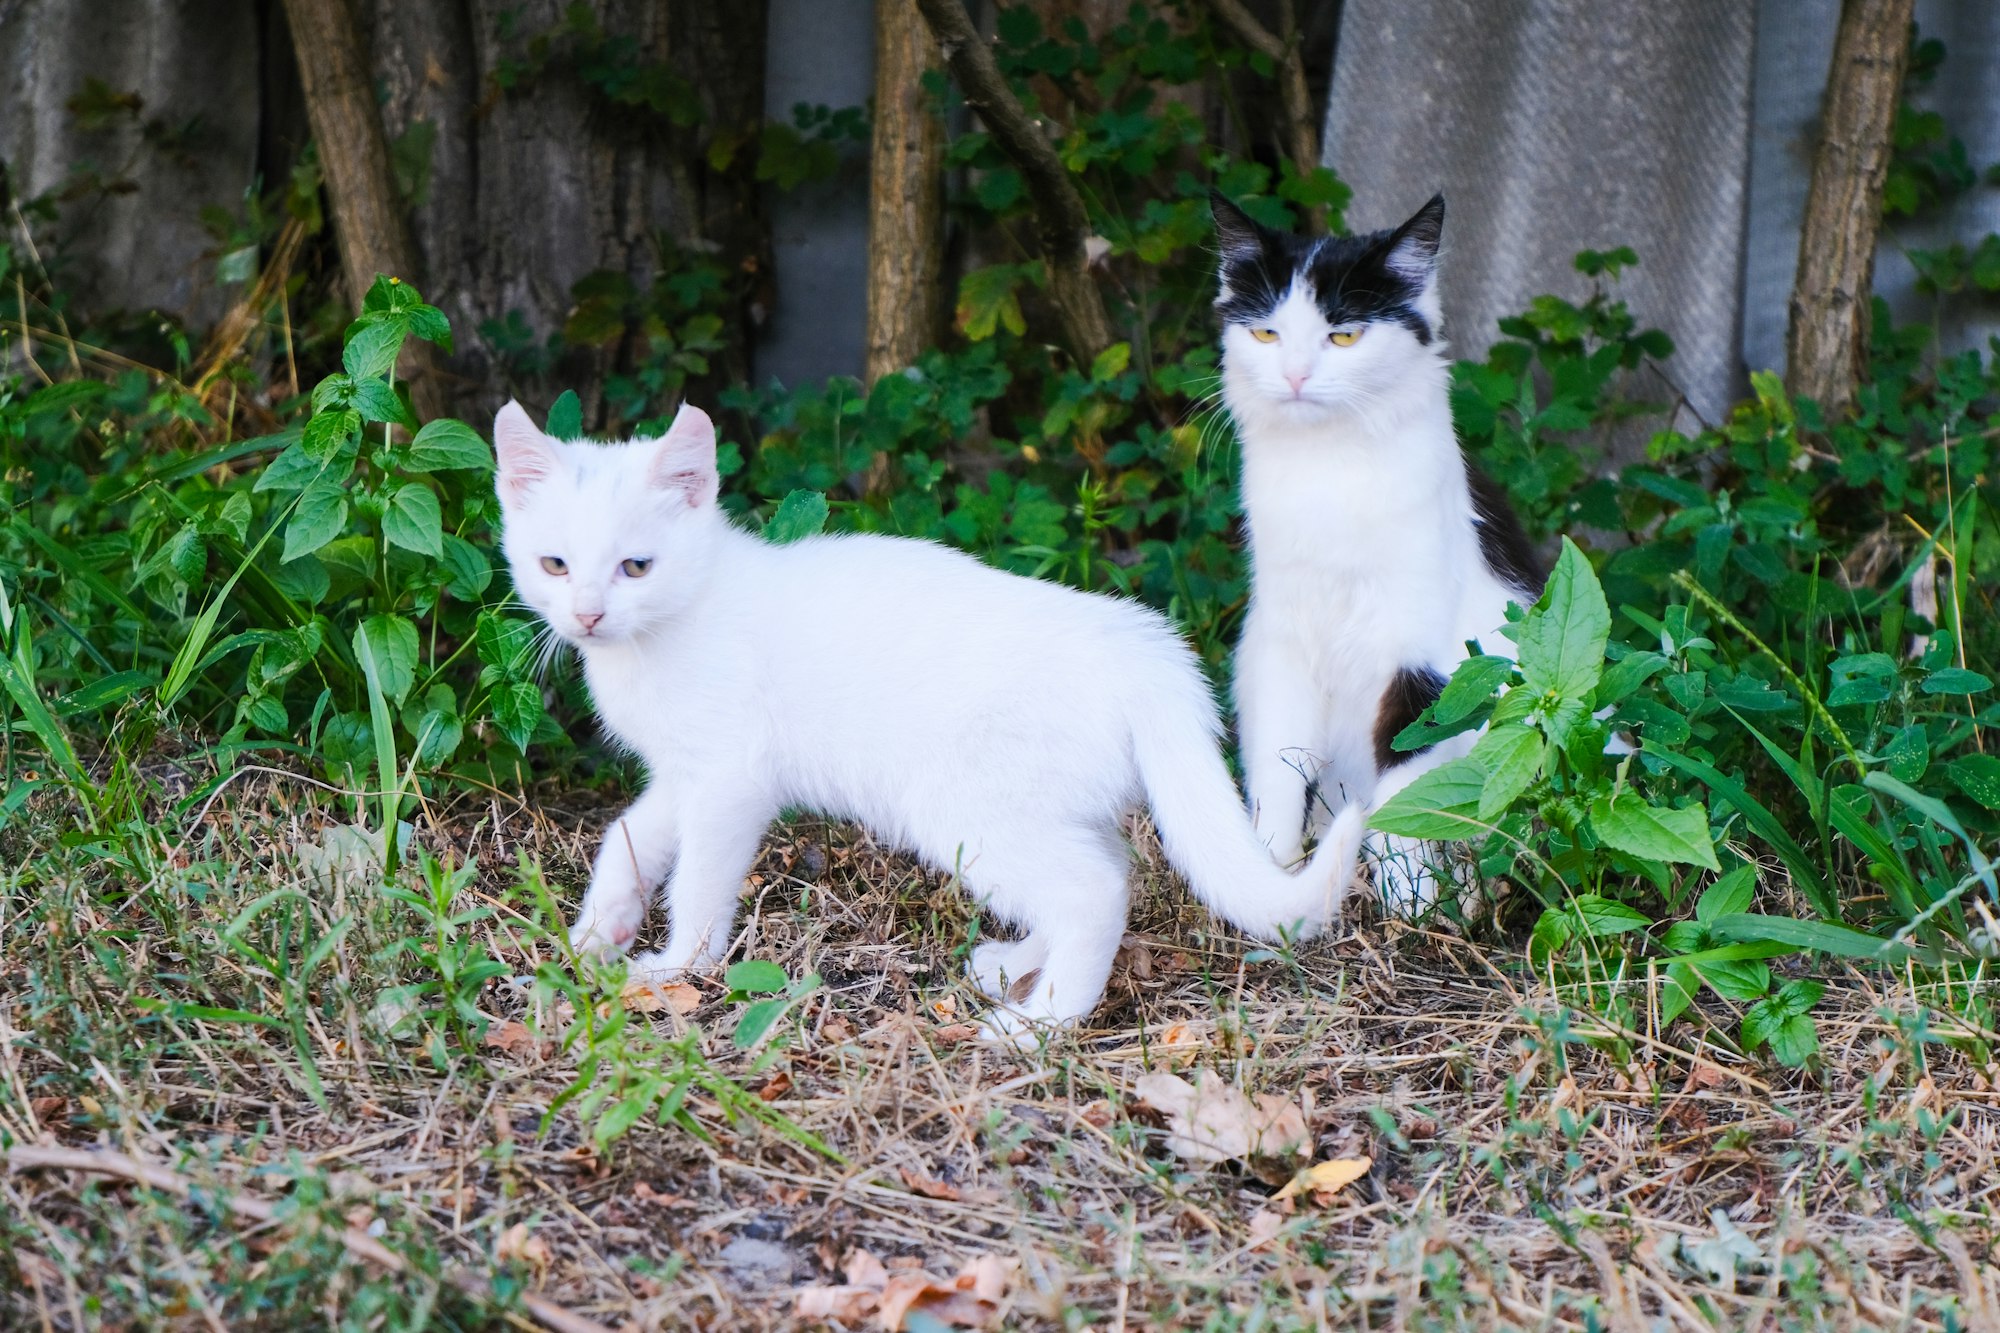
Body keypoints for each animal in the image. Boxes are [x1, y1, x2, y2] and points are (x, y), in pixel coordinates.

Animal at [492, 394, 1352, 1024]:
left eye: (635, 567)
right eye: (555, 564)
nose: (587, 615)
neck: (675, 621)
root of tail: (1148, 652)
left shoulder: (731, 779)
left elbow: (699, 879)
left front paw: (680, 965)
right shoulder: (685, 772)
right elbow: (626, 837)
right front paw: (598, 929)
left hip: (962, 808)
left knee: (1094, 891)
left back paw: (1042, 1022)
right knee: (1114, 870)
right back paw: (1016, 966)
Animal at [1200, 195, 1544, 912]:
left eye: (1344, 337)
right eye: (1267, 335)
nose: (1295, 375)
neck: (1330, 474)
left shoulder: (1417, 662)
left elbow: (1405, 784)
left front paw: (1412, 899)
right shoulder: (1282, 641)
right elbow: (1278, 764)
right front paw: (1272, 875)